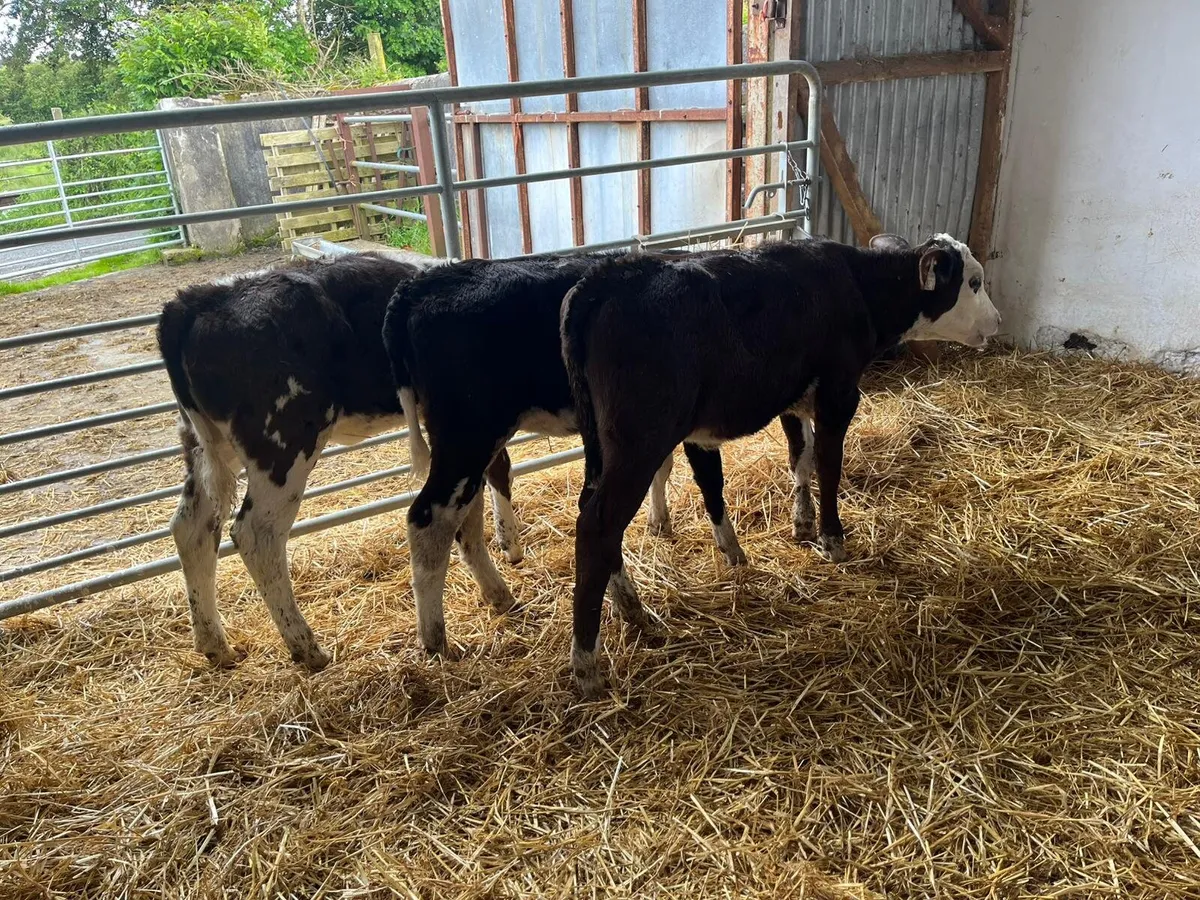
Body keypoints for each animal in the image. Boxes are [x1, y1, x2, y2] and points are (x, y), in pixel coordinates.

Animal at [158, 253, 522, 670]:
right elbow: (495, 474)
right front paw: (509, 547)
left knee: (193, 528)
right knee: (256, 534)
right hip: (283, 444)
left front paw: (496, 583)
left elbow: (469, 507)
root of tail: (196, 300)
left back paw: (216, 645)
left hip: (206, 445)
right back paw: (307, 647)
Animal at [561, 233, 1002, 696]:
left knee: (591, 512)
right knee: (597, 525)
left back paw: (629, 605)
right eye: (973, 282)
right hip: (639, 442)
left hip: (603, 447)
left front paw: (802, 523)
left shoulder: (794, 397)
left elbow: (800, 459)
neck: (857, 284)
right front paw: (831, 538)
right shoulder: (839, 394)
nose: (997, 320)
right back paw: (587, 662)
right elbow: (828, 465)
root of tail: (606, 276)